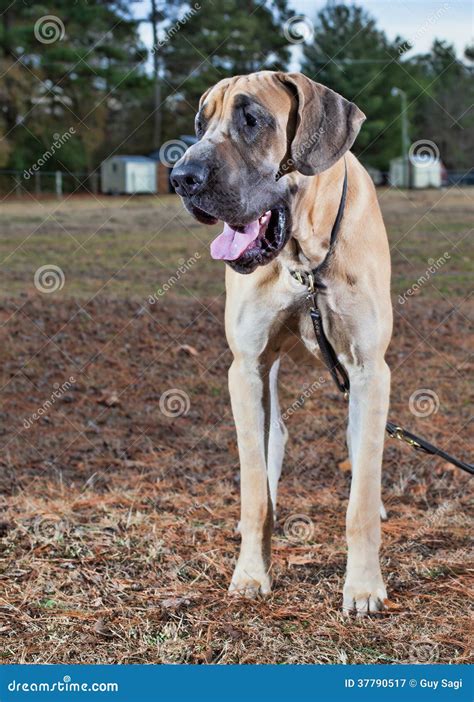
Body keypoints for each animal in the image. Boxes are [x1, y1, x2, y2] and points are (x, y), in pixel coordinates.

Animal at [170, 69, 392, 612]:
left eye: (253, 120)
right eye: (200, 123)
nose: (181, 177)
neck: (305, 257)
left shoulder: (370, 368)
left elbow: (360, 494)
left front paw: (362, 586)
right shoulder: (246, 367)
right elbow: (255, 491)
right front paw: (251, 572)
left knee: (359, 446)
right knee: (271, 446)